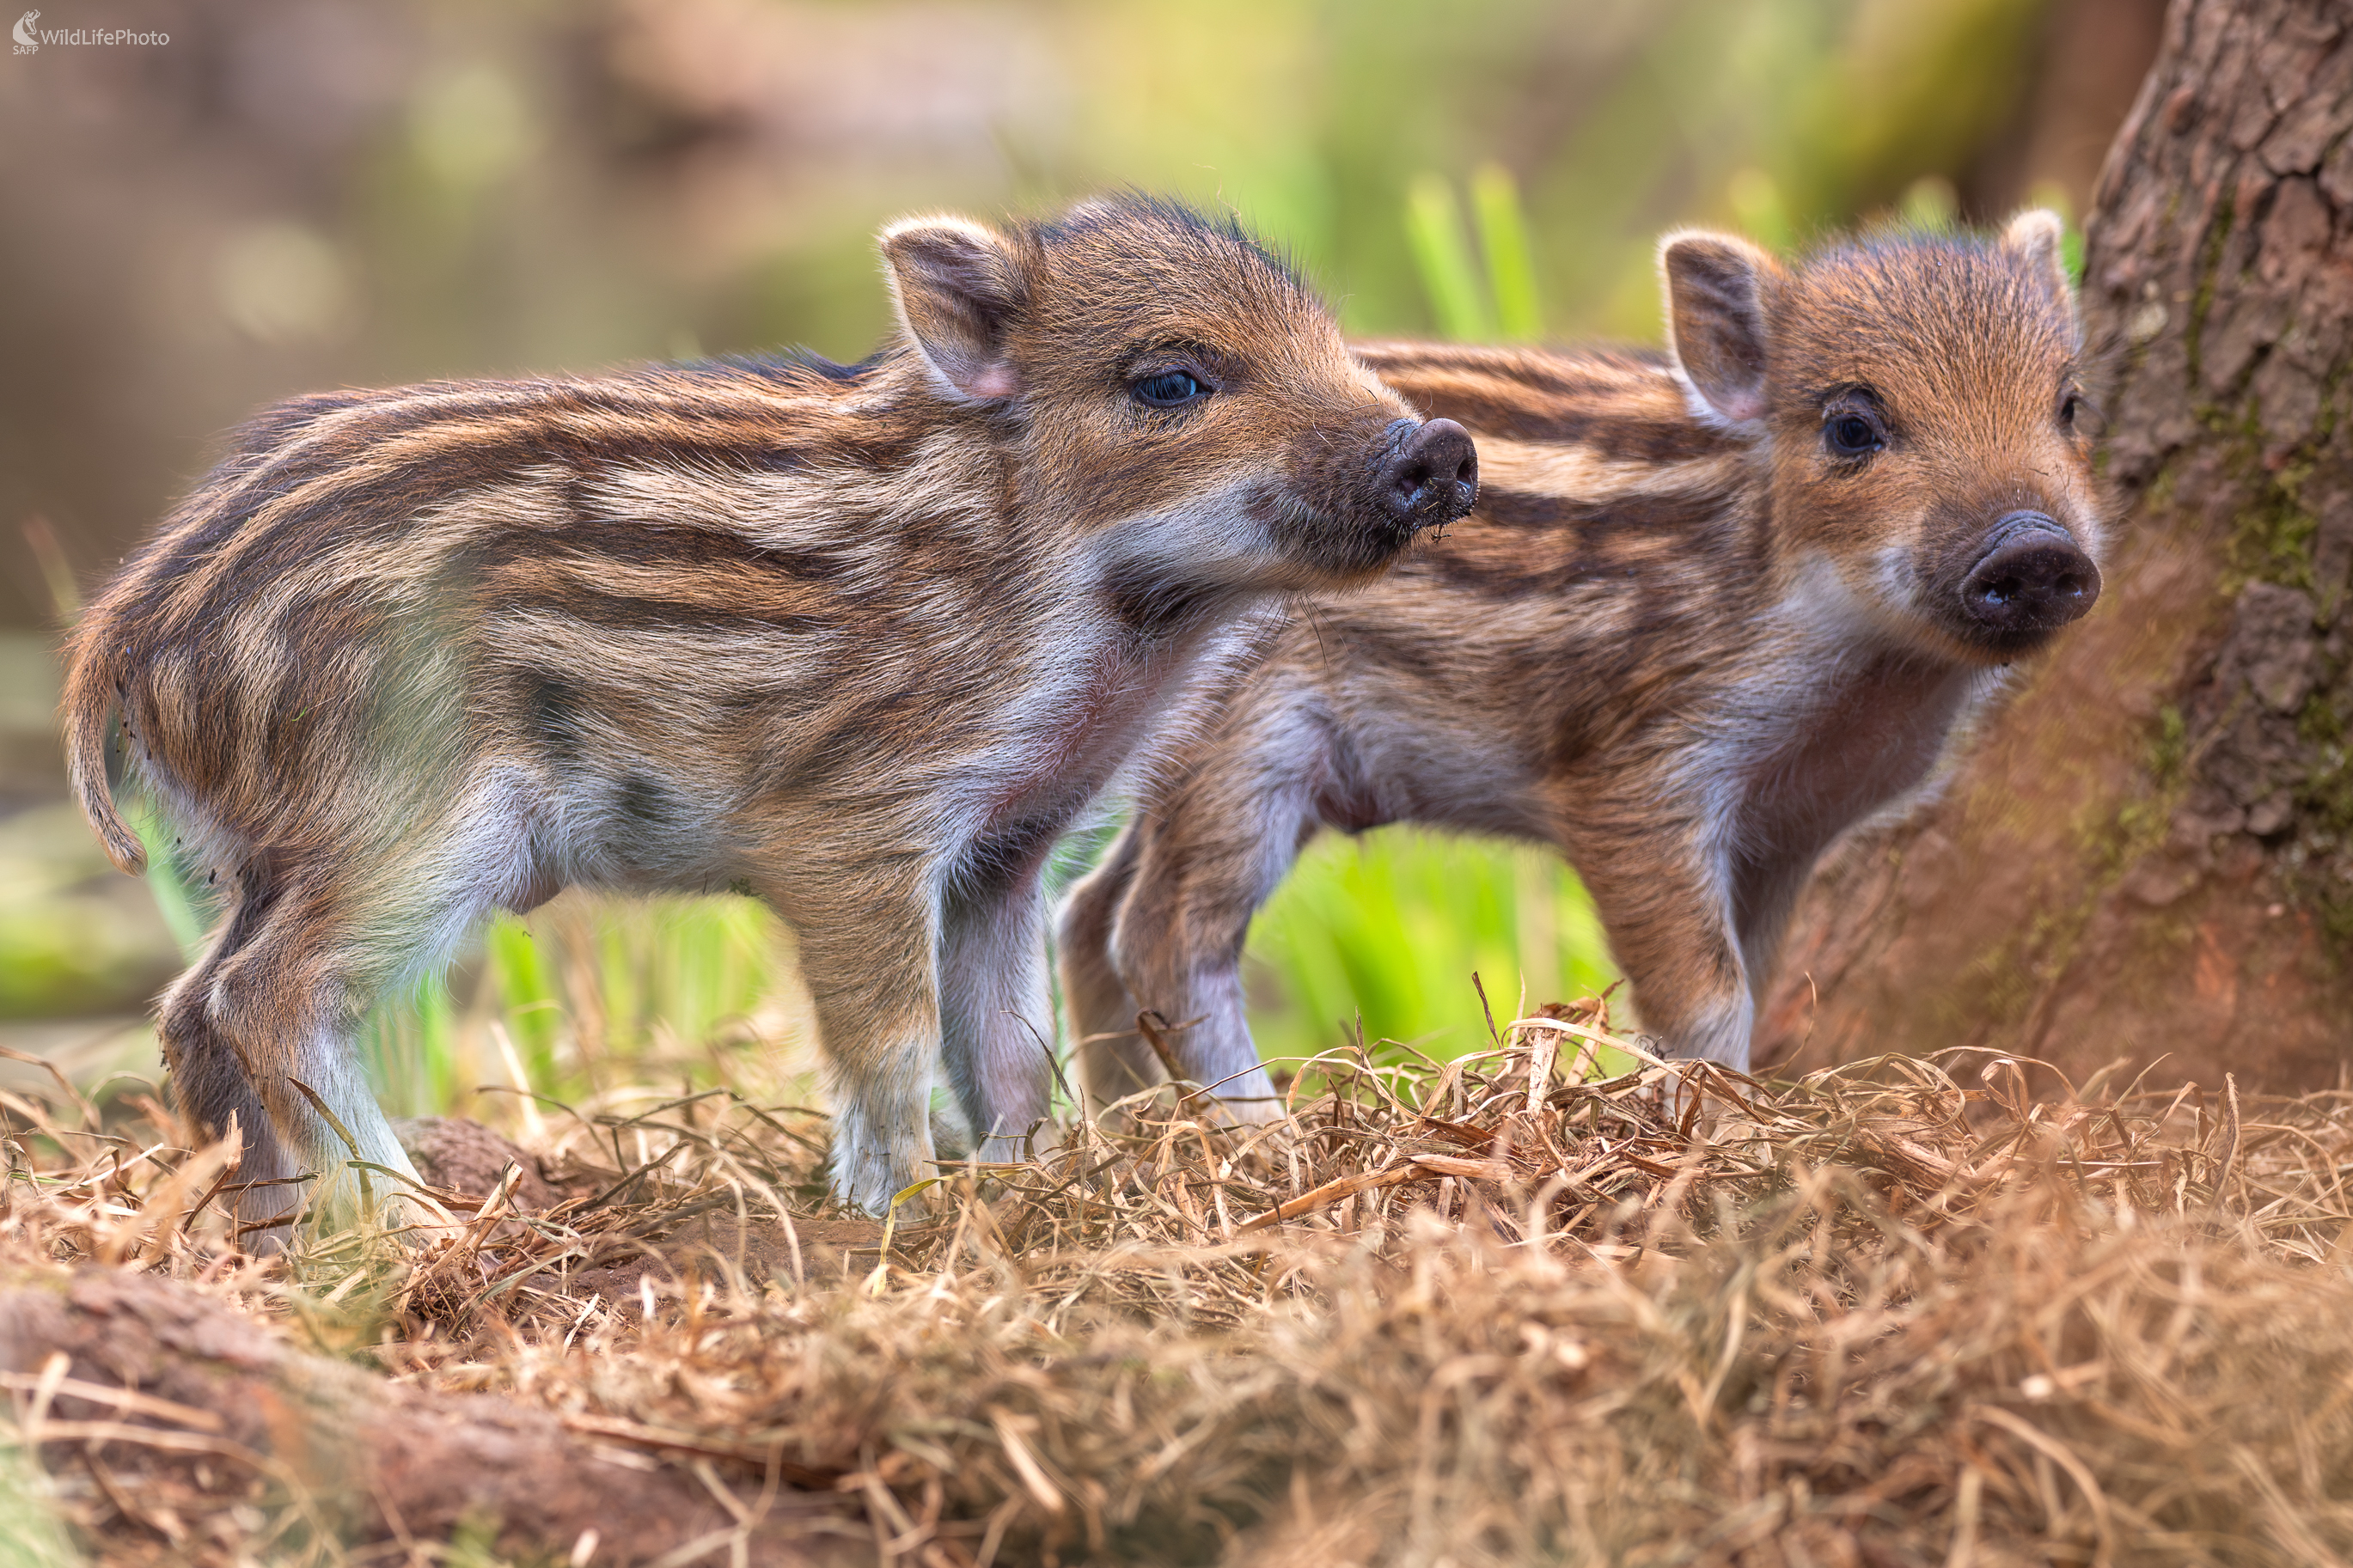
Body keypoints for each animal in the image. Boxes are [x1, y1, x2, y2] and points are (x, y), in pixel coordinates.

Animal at [61, 196, 1480, 1229]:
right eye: (1174, 381)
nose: (1440, 448)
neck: (1093, 601)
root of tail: (130, 623)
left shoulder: (1004, 850)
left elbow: (1006, 1043)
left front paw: (1026, 1186)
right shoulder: (851, 827)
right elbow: (892, 1040)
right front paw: (899, 1214)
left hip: (270, 848)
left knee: (191, 1006)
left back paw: (283, 1239)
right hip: (406, 822)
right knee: (267, 997)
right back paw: (418, 1231)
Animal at [1059, 211, 2105, 1110]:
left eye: (2069, 406)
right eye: (1851, 425)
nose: (2033, 548)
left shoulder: (1787, 830)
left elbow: (1758, 975)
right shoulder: (1637, 769)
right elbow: (1706, 992)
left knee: (1083, 913)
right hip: (1242, 741)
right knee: (1161, 935)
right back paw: (1259, 1140)